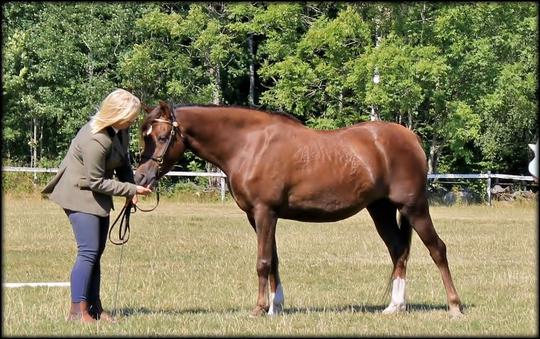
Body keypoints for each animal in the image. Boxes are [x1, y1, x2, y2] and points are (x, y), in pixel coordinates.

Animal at [133, 101, 462, 318]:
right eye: (144, 136)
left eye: (161, 137)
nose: (140, 178)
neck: (249, 145)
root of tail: (410, 137)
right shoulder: (258, 216)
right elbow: (274, 260)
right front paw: (276, 306)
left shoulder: (265, 212)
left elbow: (263, 261)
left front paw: (259, 309)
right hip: (379, 209)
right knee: (398, 251)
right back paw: (395, 306)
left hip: (414, 206)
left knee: (437, 249)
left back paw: (454, 307)